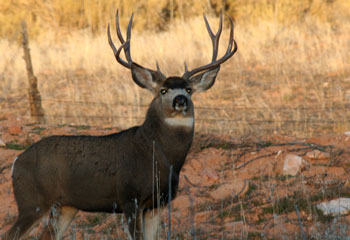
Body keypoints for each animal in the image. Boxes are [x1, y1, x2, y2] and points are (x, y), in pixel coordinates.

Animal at [4, 9, 237, 240]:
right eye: (163, 90)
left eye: (189, 89)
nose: (180, 100)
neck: (159, 156)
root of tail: (16, 161)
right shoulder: (129, 197)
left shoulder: (159, 203)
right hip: (31, 201)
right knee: (10, 234)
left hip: (66, 206)